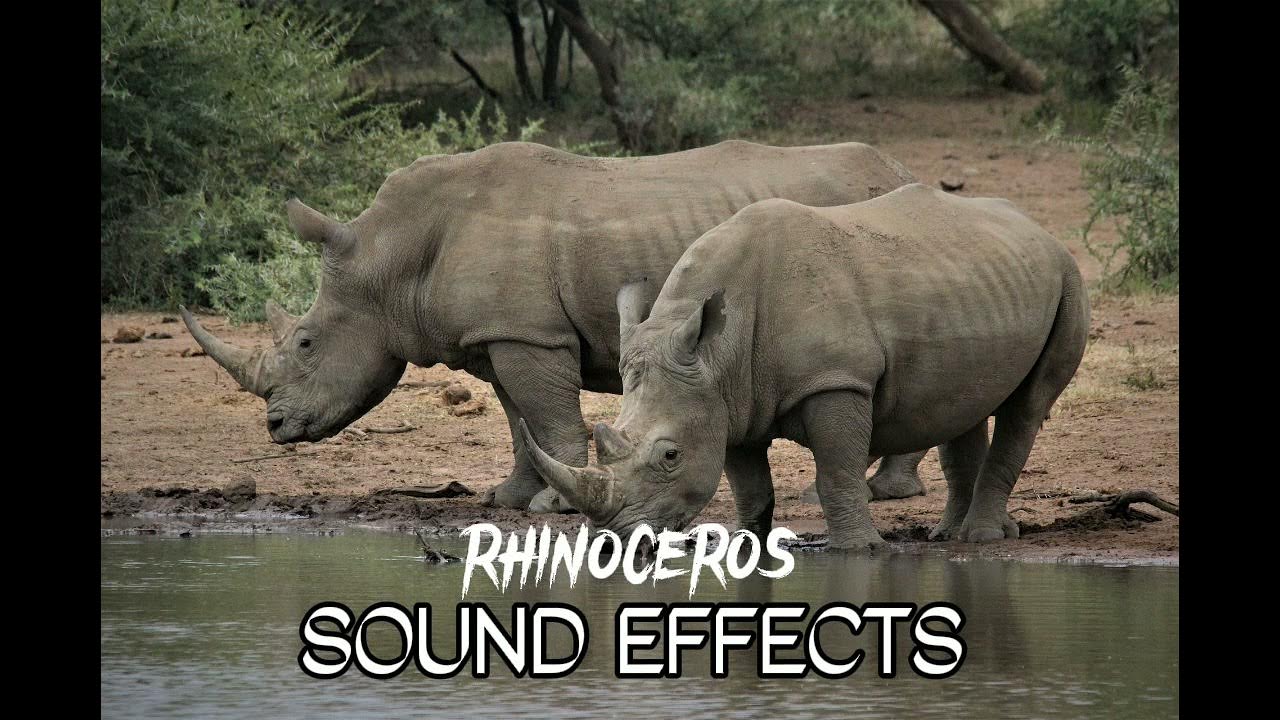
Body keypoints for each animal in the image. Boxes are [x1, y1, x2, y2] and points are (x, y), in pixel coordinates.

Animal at [178, 140, 931, 513]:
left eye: (306, 344)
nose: (275, 427)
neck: (391, 256)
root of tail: (897, 166)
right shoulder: (503, 332)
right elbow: (519, 419)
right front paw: (509, 499)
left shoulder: (527, 333)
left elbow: (547, 414)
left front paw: (553, 508)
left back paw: (879, 493)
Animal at [520, 183, 1089, 547]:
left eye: (670, 456)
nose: (612, 542)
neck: (716, 353)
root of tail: (1038, 229)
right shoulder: (727, 397)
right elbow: (749, 486)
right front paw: (744, 547)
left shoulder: (836, 381)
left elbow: (836, 470)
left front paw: (858, 550)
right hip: (980, 281)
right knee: (961, 405)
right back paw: (950, 535)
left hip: (1068, 276)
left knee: (1028, 405)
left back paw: (981, 538)